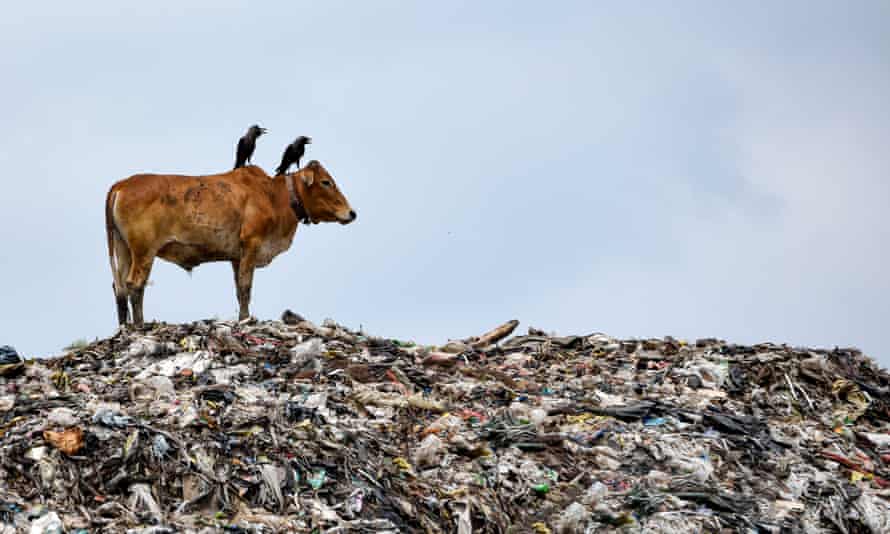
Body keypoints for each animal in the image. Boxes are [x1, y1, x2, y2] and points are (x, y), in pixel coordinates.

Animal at [104, 161, 354, 326]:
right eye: (326, 182)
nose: (352, 213)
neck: (273, 195)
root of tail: (122, 184)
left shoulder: (236, 256)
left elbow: (238, 289)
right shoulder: (252, 244)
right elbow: (245, 288)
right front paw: (245, 320)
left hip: (124, 249)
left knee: (120, 287)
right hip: (144, 251)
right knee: (135, 284)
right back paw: (139, 325)